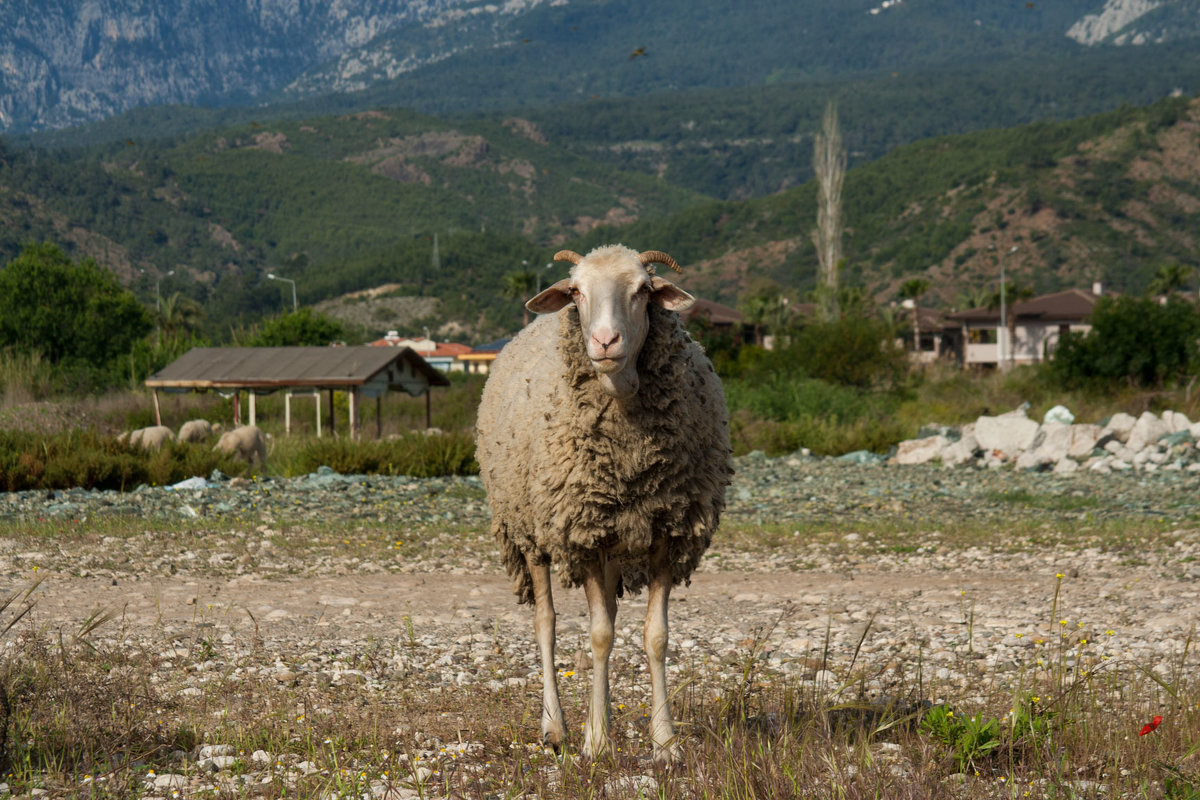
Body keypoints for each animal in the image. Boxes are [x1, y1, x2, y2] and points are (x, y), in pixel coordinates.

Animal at [475, 244, 729, 762]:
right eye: (575, 291)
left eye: (644, 290)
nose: (605, 340)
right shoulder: (583, 536)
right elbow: (598, 635)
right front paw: (595, 742)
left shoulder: (665, 533)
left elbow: (654, 637)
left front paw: (664, 742)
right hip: (532, 530)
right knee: (546, 622)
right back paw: (555, 728)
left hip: (612, 537)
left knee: (605, 614)